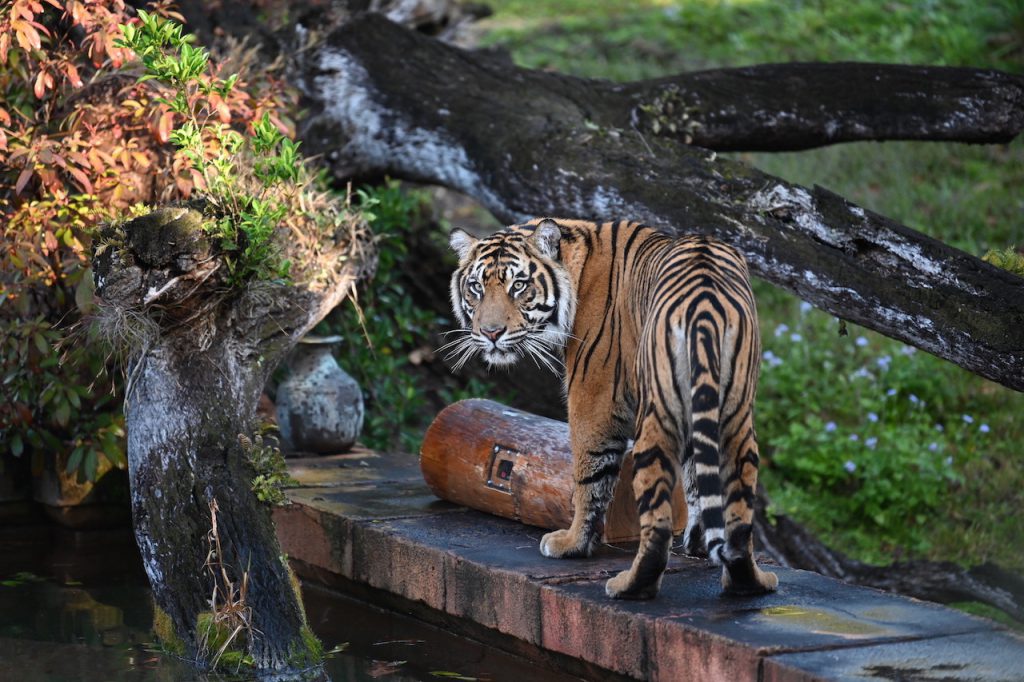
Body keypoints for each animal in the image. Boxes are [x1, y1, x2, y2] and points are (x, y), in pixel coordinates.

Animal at [446, 216, 774, 593]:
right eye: (476, 287)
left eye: (519, 286)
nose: (491, 333)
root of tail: (706, 303)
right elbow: (695, 478)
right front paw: (698, 541)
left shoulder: (594, 399)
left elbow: (589, 476)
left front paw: (572, 543)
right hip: (735, 414)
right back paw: (747, 581)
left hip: (655, 417)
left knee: (657, 523)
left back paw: (628, 586)